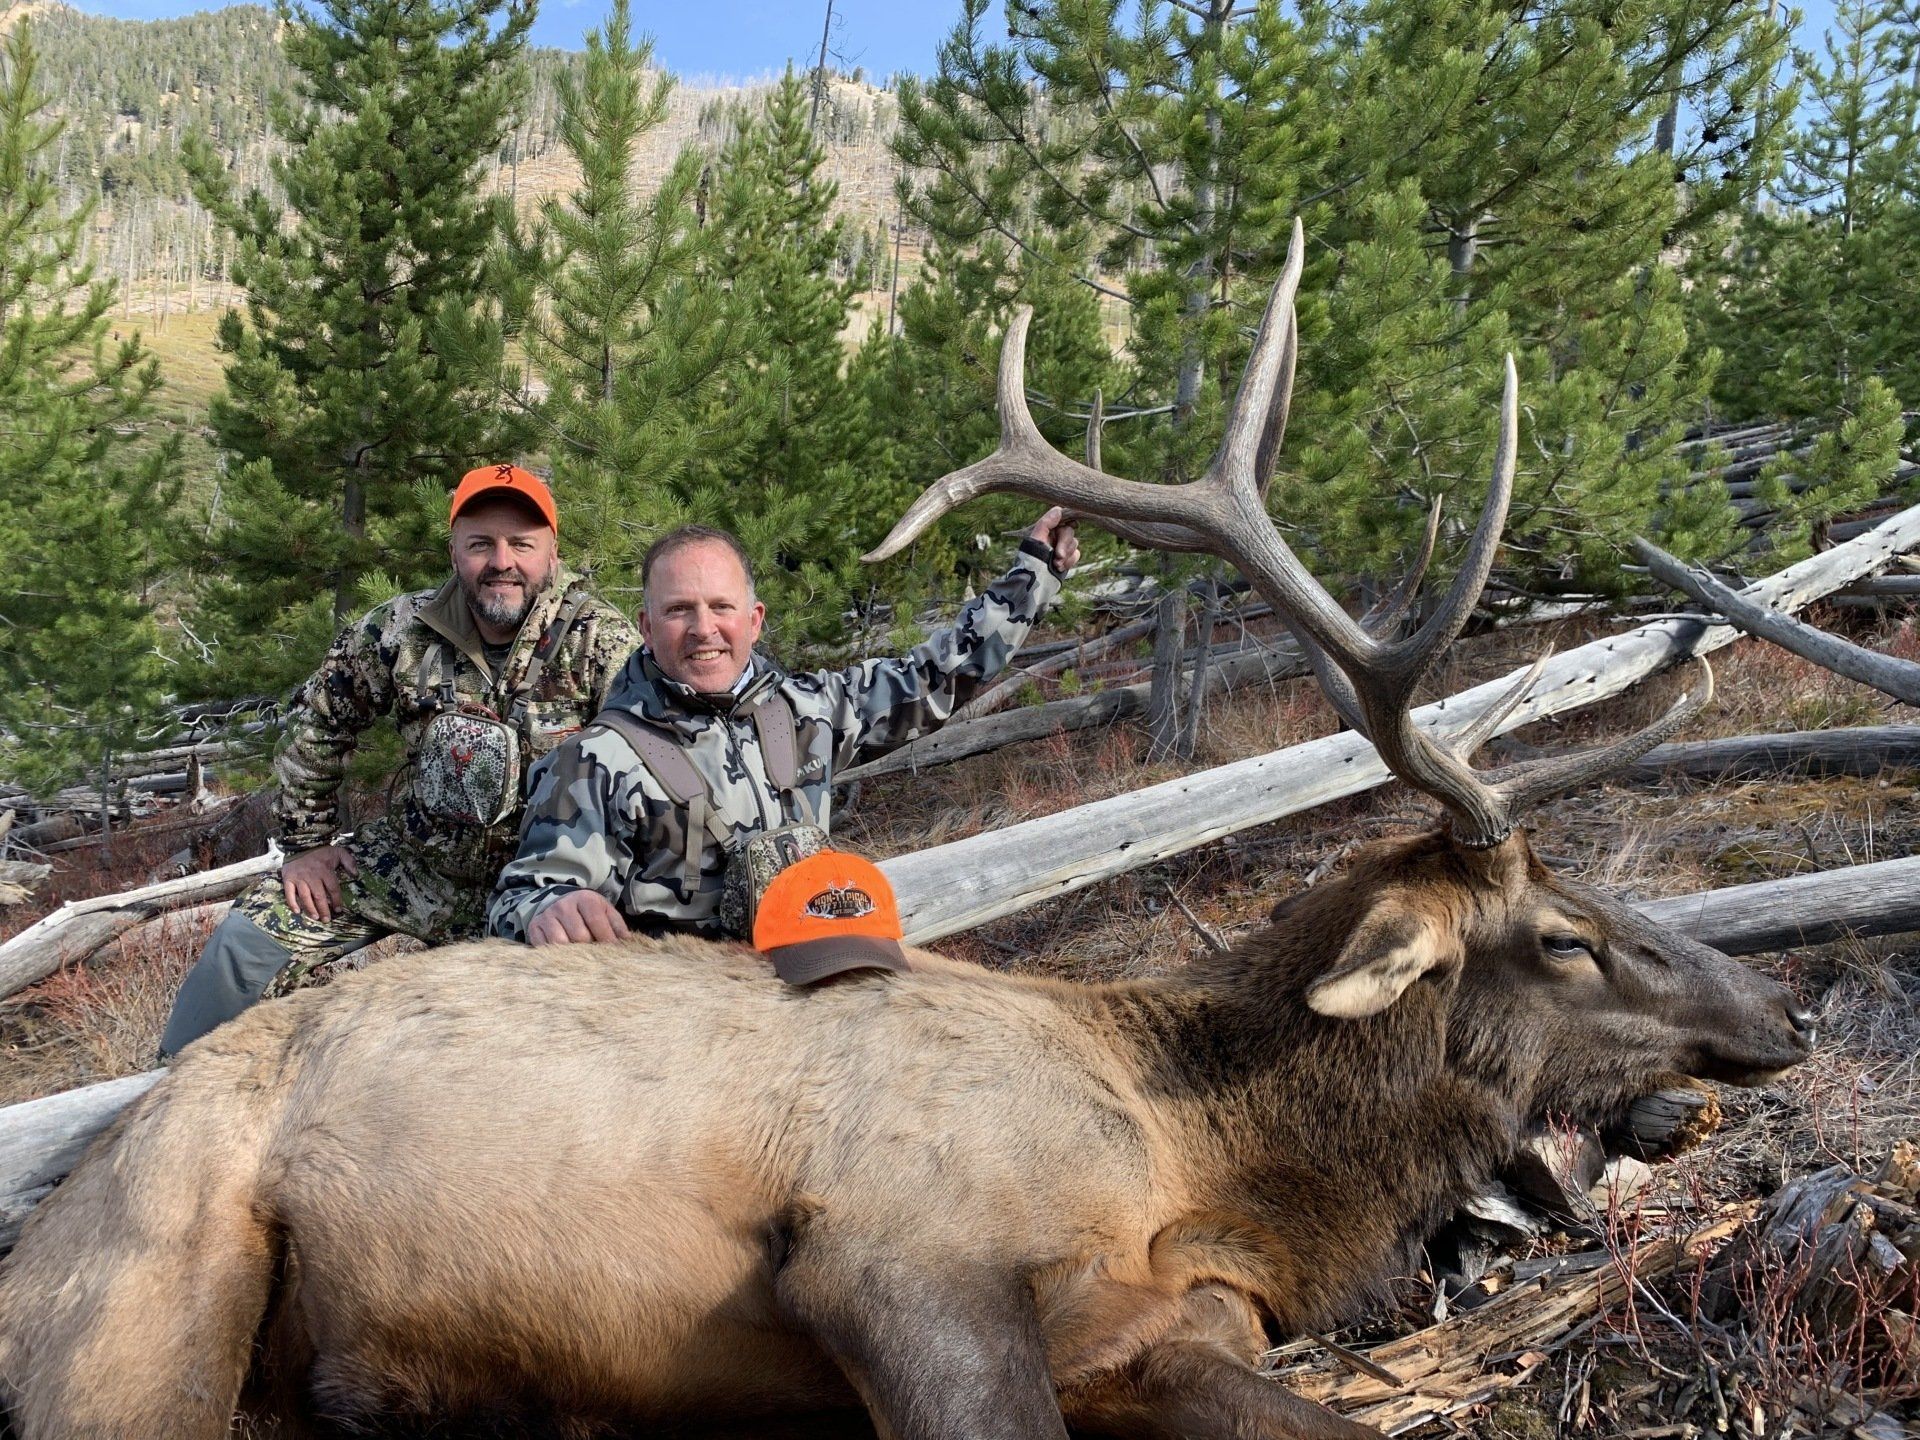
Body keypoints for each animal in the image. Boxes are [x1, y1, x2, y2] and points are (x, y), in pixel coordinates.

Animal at [0, 223, 1815, 1440]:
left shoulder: (1172, 1329)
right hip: (152, 1287)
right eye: (1564, 936)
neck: (1208, 1155)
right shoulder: (894, 1250)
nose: (1782, 1015)